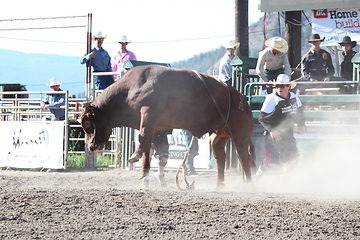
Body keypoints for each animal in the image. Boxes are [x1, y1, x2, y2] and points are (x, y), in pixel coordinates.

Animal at [81, 65, 256, 188]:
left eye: (87, 122)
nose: (91, 146)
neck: (130, 88)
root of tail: (240, 98)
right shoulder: (152, 124)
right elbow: (147, 144)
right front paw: (144, 170)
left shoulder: (149, 111)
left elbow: (144, 135)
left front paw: (135, 155)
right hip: (219, 135)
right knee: (221, 157)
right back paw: (219, 185)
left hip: (240, 132)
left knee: (244, 156)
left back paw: (248, 184)